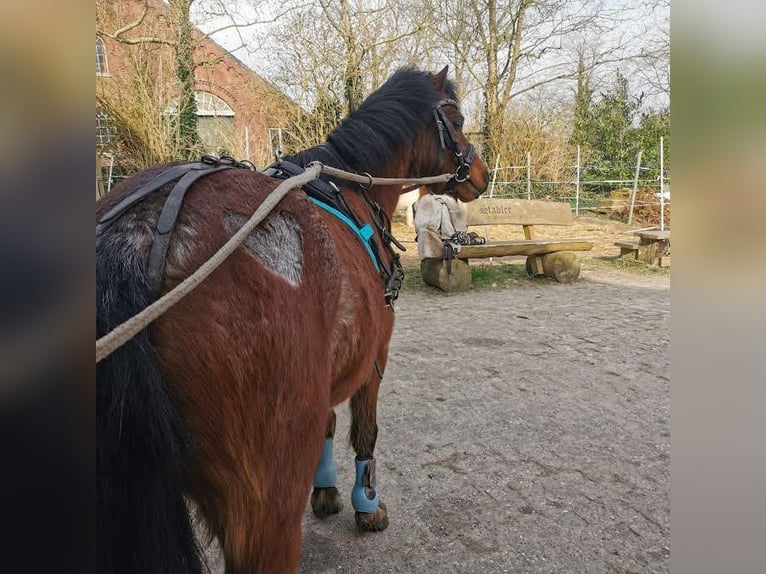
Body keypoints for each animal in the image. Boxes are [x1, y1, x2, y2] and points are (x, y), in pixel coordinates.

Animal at [96, 66, 489, 574]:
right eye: (457, 122)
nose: (481, 175)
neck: (350, 189)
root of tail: (142, 232)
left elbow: (327, 426)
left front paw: (325, 491)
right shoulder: (374, 356)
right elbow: (365, 431)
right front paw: (366, 503)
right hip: (266, 507)